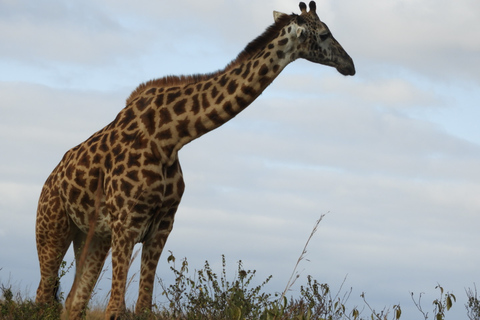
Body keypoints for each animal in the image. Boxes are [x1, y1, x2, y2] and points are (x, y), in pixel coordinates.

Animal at [35, 1, 354, 318]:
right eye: (324, 34)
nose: (349, 64)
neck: (170, 137)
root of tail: (49, 181)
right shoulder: (126, 222)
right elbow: (117, 309)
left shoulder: (162, 225)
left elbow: (143, 306)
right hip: (53, 228)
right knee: (43, 295)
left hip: (92, 237)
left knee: (72, 301)